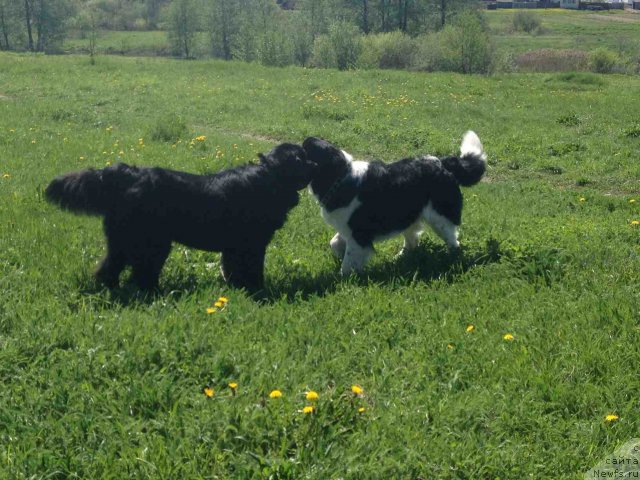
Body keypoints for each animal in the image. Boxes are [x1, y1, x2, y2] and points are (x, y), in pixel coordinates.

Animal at [45, 142, 316, 290]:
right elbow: (253, 270)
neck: (270, 177)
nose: (315, 165)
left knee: (113, 267)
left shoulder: (234, 248)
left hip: (127, 242)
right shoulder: (252, 245)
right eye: (302, 158)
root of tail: (126, 175)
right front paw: (257, 289)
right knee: (134, 270)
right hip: (149, 242)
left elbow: (232, 270)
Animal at [302, 131, 488, 276]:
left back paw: (449, 259)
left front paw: (344, 279)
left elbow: (349, 261)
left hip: (439, 218)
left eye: (304, 151)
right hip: (409, 215)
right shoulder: (348, 229)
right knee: (413, 240)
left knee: (453, 242)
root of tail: (443, 162)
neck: (340, 177)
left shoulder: (358, 233)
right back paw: (401, 258)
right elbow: (334, 243)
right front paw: (339, 256)